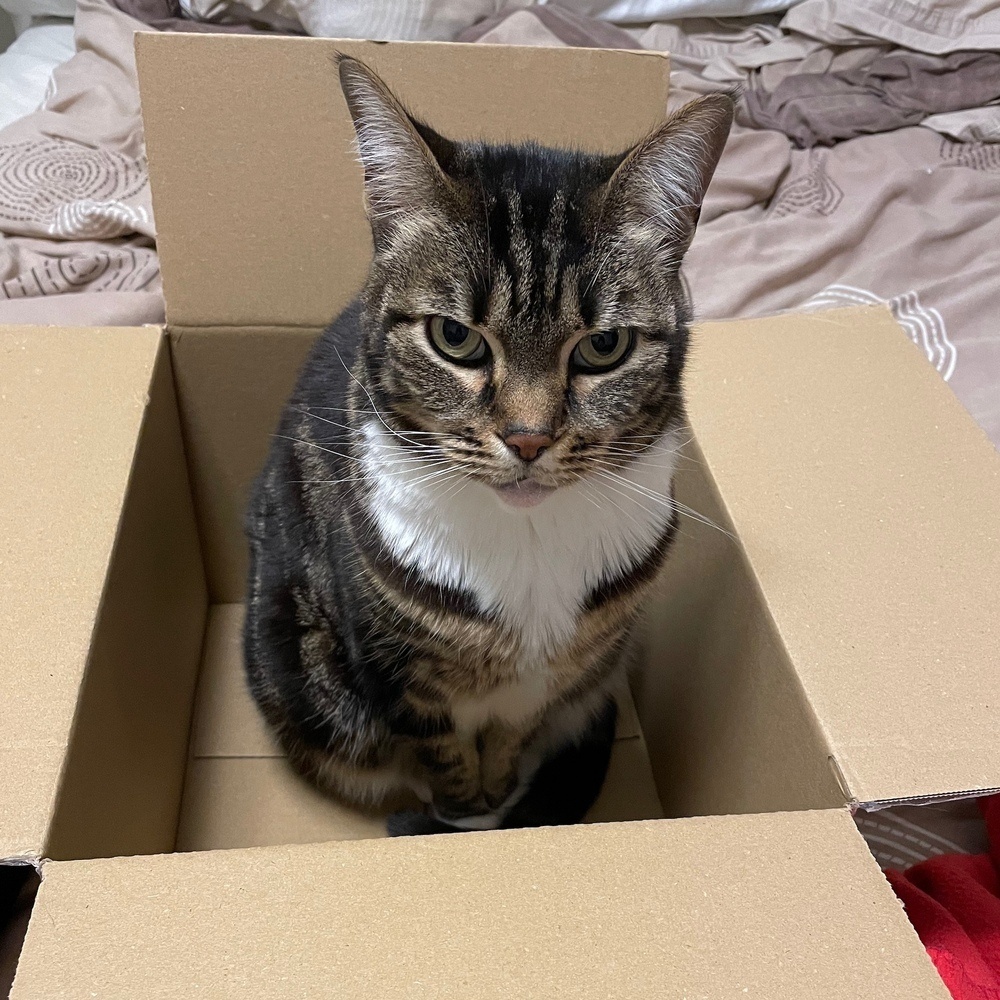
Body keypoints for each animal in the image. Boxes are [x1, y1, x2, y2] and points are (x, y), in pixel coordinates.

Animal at [246, 56, 732, 836]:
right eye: (455, 337)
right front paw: (466, 812)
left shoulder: (550, 682)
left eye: (604, 346)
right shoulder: (399, 680)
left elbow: (512, 738)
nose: (528, 438)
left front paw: (496, 798)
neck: (527, 544)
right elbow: (441, 756)